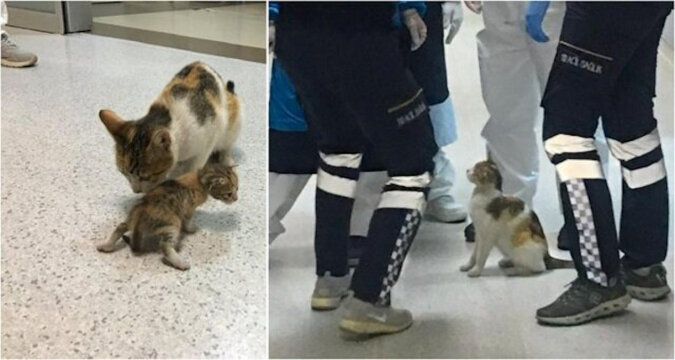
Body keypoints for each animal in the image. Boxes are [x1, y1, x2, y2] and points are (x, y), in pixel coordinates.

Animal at [96, 163, 239, 270]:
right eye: (229, 194)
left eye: (237, 188)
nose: (236, 199)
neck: (200, 178)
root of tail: (140, 215)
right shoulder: (189, 209)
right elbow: (188, 220)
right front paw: (191, 229)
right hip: (173, 224)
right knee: (164, 246)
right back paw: (181, 263)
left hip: (131, 218)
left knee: (121, 226)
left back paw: (106, 246)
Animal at [97, 61, 240, 194]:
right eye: (123, 173)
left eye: (145, 177)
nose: (136, 191)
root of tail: (202, 63)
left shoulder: (208, 139)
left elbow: (195, 165)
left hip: (233, 122)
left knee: (227, 144)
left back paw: (227, 159)